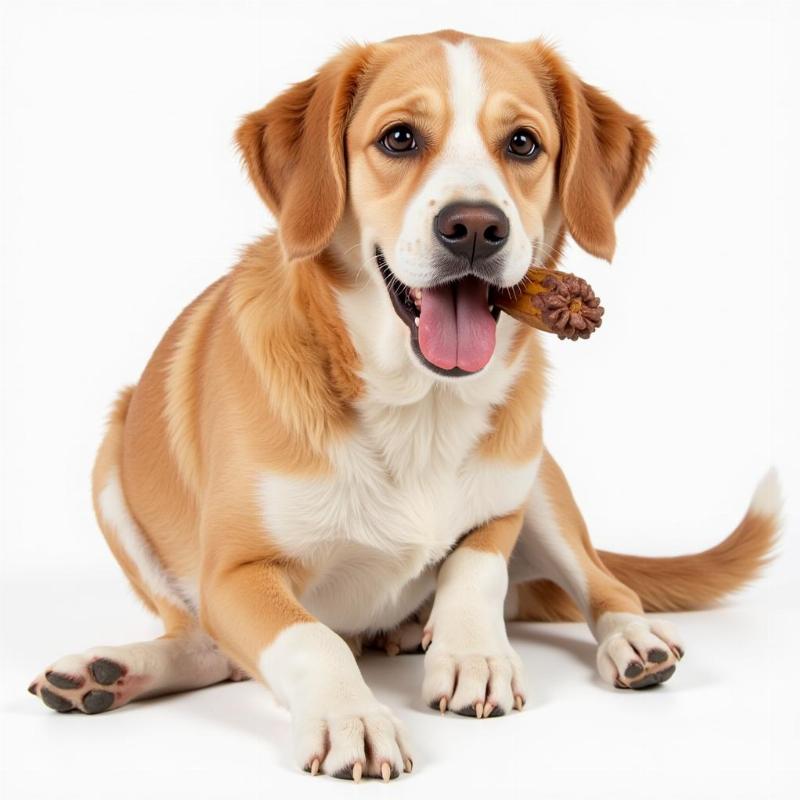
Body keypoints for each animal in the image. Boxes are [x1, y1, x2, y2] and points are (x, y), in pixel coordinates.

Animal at [28, 31, 780, 780]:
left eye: (524, 143)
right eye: (399, 137)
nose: (474, 226)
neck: (419, 405)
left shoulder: (503, 509)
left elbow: (474, 569)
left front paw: (474, 653)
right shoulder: (234, 574)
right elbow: (310, 639)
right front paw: (350, 716)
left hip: (544, 483)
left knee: (607, 585)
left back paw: (629, 640)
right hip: (111, 464)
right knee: (207, 643)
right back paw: (108, 671)